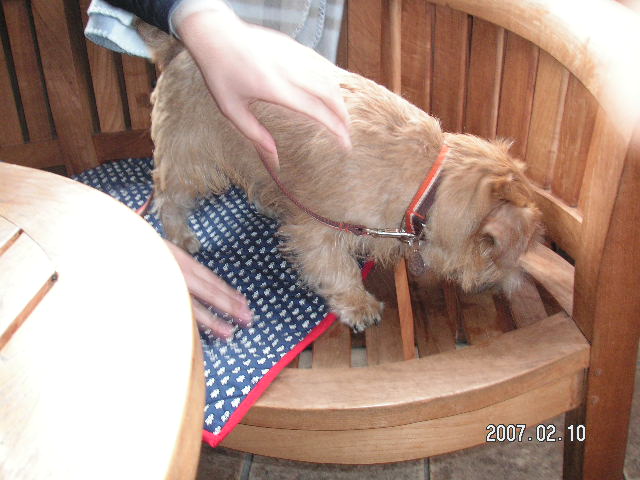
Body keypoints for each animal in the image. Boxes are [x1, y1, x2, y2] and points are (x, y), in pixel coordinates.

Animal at [139, 24, 542, 332]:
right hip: (189, 157)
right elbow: (337, 269)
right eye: (511, 250)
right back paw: (180, 236)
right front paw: (358, 304)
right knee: (167, 197)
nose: (500, 289)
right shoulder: (320, 229)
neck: (429, 181)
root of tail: (180, 47)